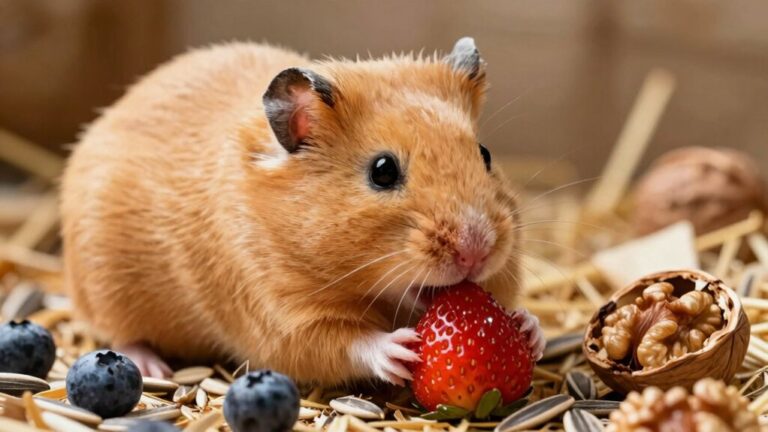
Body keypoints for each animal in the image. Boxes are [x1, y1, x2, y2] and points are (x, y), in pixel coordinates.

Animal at [60, 37, 544, 385]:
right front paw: (399, 349)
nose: (476, 250)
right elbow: (343, 343)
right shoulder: (280, 317)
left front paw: (529, 329)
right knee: (120, 335)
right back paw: (152, 368)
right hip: (105, 287)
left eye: (484, 154)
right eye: (383, 172)